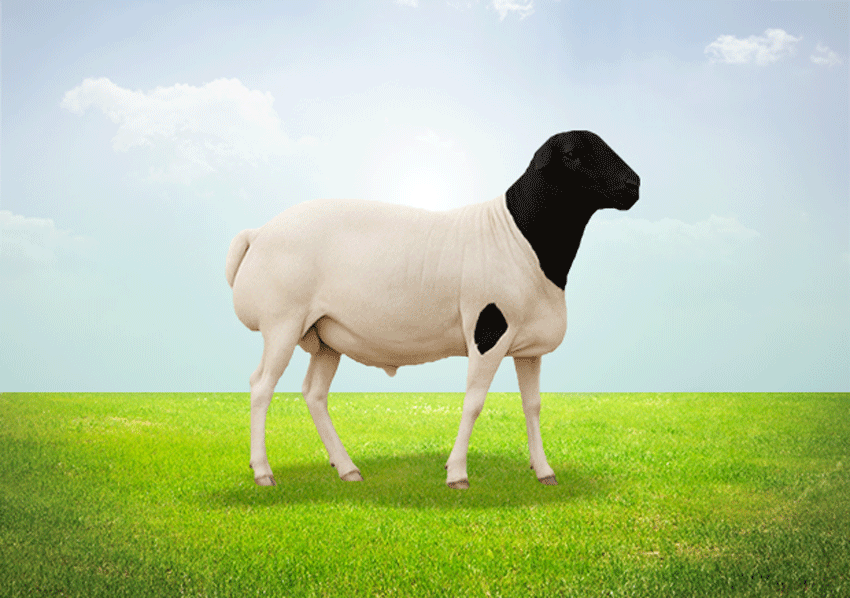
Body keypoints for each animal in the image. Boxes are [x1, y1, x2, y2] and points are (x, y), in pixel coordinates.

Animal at [226, 130, 640, 488]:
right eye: (572, 154)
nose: (634, 184)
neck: (525, 240)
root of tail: (259, 232)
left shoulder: (528, 346)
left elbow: (533, 406)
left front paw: (544, 471)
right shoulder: (488, 330)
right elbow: (473, 403)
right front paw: (457, 474)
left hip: (327, 336)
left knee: (313, 393)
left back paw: (347, 469)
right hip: (282, 321)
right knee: (261, 386)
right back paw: (263, 472)